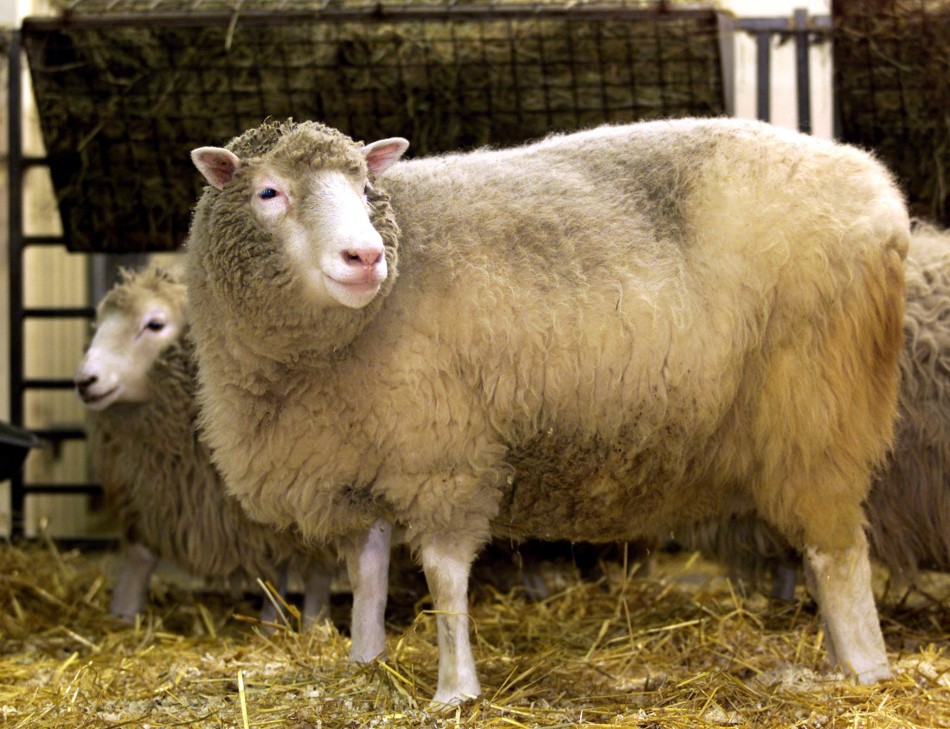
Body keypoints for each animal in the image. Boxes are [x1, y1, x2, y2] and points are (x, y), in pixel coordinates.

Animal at [75, 264, 334, 628]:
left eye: (155, 324)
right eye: (99, 323)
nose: (85, 381)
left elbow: (314, 576)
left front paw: (309, 626)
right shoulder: (148, 494)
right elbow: (139, 558)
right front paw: (123, 614)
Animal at [184, 116, 908, 704]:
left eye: (365, 189)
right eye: (268, 192)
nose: (365, 257)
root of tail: (880, 190)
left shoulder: (446, 454)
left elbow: (445, 577)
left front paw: (455, 690)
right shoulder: (358, 461)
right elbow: (367, 576)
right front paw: (365, 661)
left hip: (817, 406)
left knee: (838, 552)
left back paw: (864, 669)